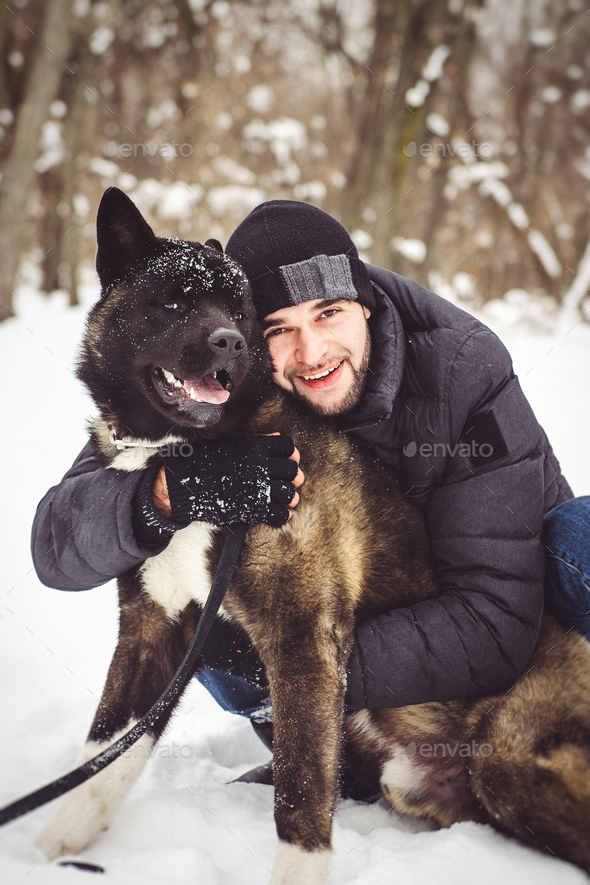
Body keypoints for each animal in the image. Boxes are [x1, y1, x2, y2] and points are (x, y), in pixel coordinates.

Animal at [35, 186, 590, 876]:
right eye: (173, 302)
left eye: (240, 311)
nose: (230, 344)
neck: (202, 455)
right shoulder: (152, 629)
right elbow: (106, 752)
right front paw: (56, 844)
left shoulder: (300, 638)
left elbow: (299, 798)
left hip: (509, 760)